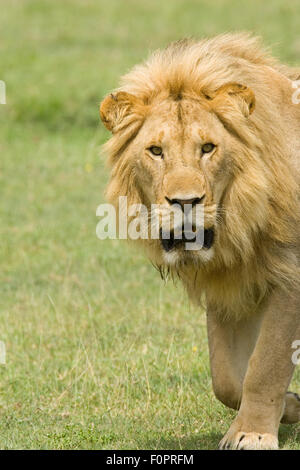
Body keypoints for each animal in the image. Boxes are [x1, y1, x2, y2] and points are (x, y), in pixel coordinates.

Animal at [100, 33, 300, 448]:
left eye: (208, 148)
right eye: (156, 150)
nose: (185, 201)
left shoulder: (293, 274)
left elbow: (267, 363)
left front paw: (252, 435)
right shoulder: (229, 283)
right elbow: (226, 376)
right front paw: (290, 406)